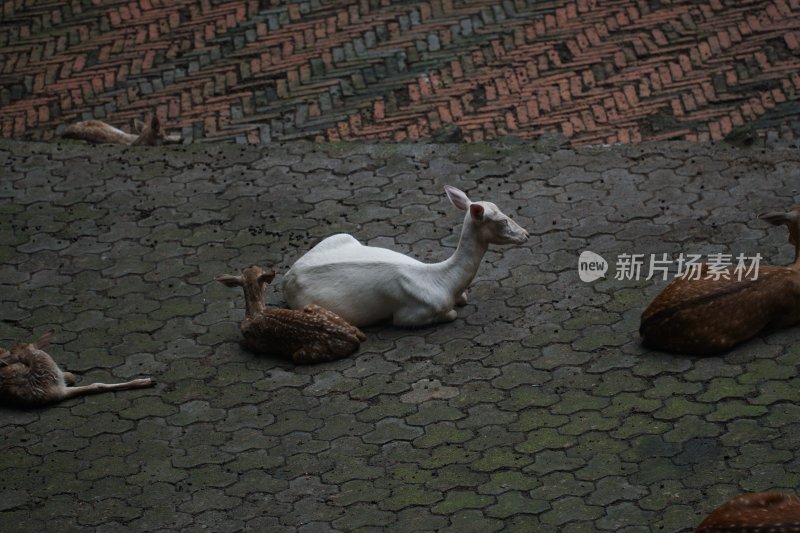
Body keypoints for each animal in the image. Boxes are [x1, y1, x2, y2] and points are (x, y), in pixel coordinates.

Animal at [216, 264, 366, 364]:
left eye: (258, 269)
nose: (253, 265)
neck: (255, 312)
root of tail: (351, 337)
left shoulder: (254, 343)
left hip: (301, 355)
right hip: (314, 307)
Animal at [282, 187, 532, 328]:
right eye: (502, 221)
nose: (526, 234)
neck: (446, 283)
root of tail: (287, 276)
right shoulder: (410, 315)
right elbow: (450, 314)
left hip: (339, 236)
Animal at [640, 207, 800, 354]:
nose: (789, 239)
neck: (794, 270)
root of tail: (644, 326)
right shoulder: (788, 316)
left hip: (698, 267)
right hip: (715, 343)